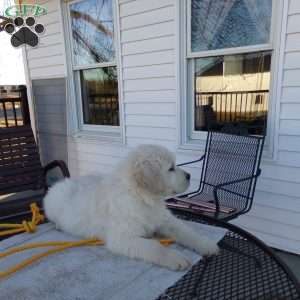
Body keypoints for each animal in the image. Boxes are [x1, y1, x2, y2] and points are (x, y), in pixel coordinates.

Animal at [43, 144, 219, 270]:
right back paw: (58, 225)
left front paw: (206, 245)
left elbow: (187, 232)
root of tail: (61, 183)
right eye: (171, 168)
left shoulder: (165, 220)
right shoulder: (122, 237)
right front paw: (174, 258)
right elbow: (154, 246)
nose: (189, 175)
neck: (142, 198)